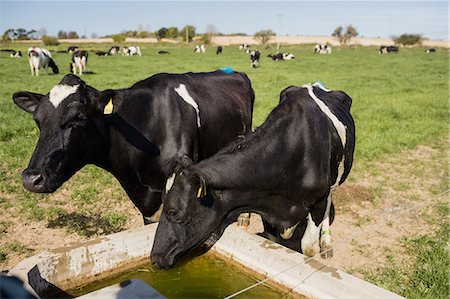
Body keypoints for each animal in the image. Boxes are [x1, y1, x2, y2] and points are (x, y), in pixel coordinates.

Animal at [151, 81, 356, 270]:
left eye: (173, 212)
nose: (154, 257)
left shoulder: (317, 202)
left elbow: (309, 249)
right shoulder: (268, 205)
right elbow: (272, 241)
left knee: (330, 198)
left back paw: (327, 243)